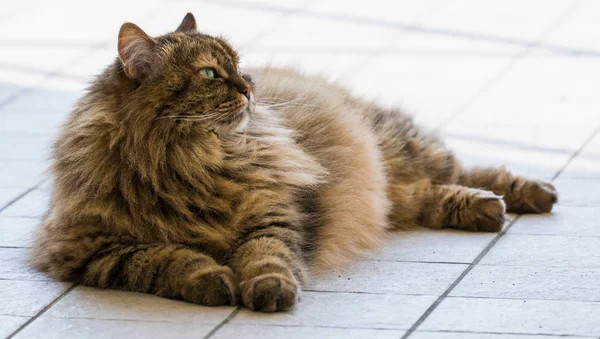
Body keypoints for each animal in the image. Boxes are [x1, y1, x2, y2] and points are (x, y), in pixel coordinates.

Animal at [29, 13, 556, 314]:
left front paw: (268, 290)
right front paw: (213, 280)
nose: (249, 87)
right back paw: (486, 209)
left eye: (238, 66)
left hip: (400, 147)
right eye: (209, 74)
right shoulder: (91, 251)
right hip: (397, 184)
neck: (190, 166)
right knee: (423, 195)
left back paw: (530, 195)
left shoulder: (273, 215)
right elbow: (164, 259)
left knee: (464, 172)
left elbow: (267, 256)